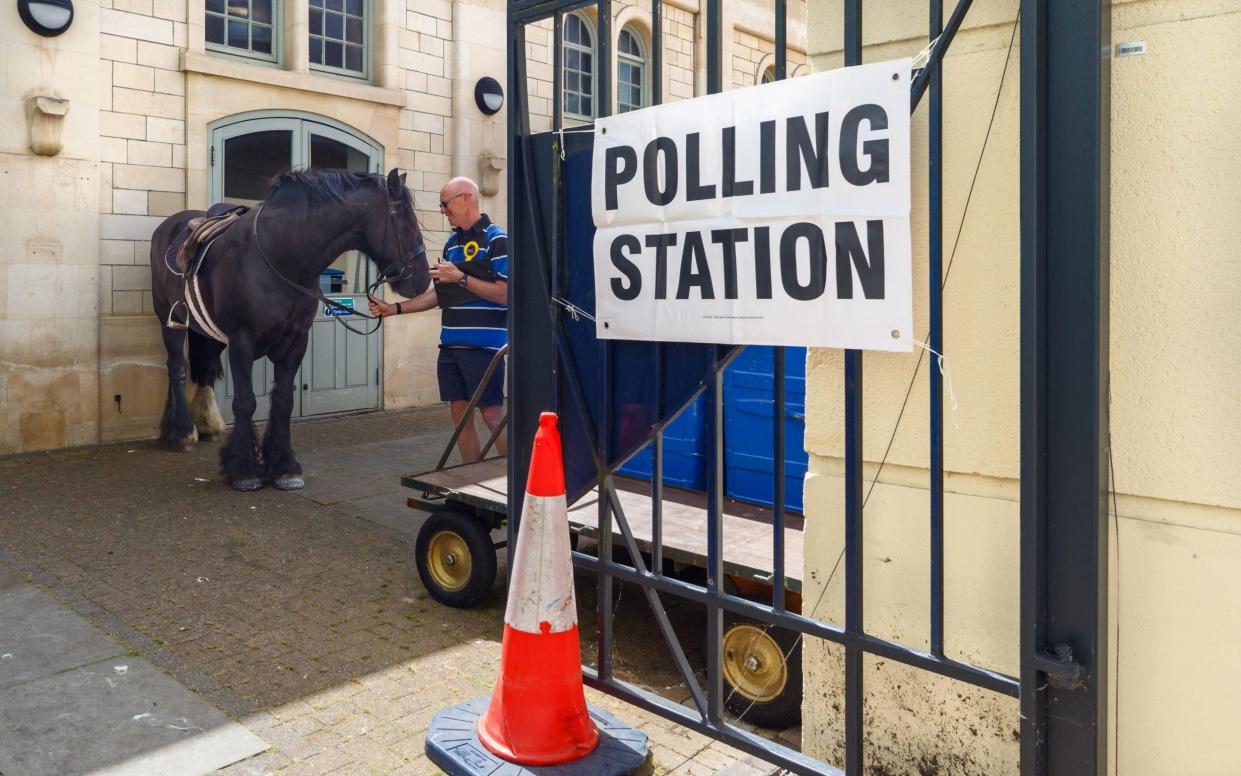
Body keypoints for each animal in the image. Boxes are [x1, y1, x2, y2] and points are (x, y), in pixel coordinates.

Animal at [151, 167, 431, 489]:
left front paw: (284, 467)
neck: (280, 256)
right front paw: (244, 470)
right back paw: (180, 433)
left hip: (208, 331)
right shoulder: (242, 342)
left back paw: (207, 424)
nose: (423, 280)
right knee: (176, 368)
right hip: (171, 321)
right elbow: (245, 402)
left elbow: (283, 401)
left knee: (206, 368)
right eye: (405, 221)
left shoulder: (295, 342)